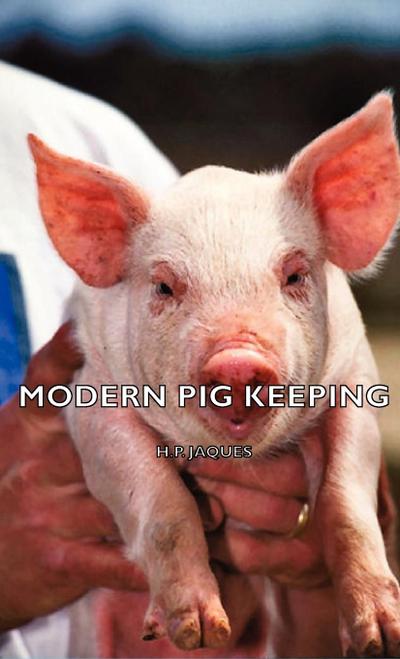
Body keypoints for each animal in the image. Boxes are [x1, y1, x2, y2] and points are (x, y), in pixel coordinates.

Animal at [28, 91, 400, 657]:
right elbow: (165, 502)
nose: (238, 359)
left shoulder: (355, 379)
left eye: (294, 275)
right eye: (164, 286)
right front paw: (198, 631)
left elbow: (346, 502)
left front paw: (381, 636)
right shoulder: (90, 396)